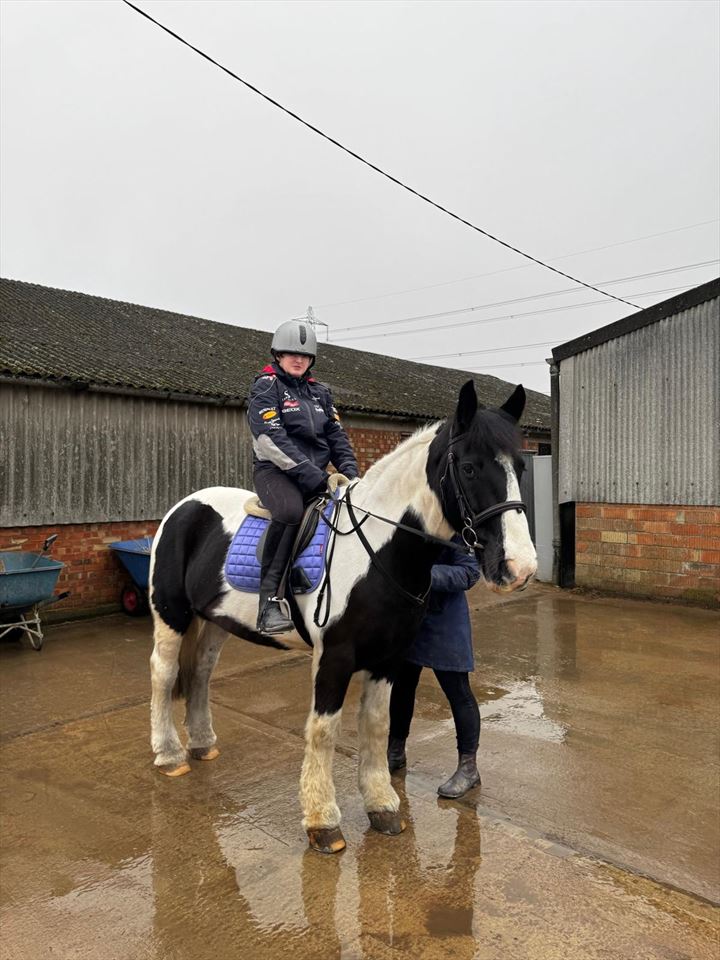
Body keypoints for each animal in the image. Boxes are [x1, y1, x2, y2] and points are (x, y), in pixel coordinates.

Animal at [148, 380, 537, 853]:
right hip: (171, 613)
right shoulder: (333, 657)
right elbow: (323, 730)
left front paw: (382, 806)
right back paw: (169, 755)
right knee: (164, 673)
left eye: (520, 465)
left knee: (201, 674)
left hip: (213, 623)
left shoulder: (388, 658)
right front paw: (323, 822)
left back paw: (203, 745)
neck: (376, 549)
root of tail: (183, 507)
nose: (520, 567)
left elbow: (376, 725)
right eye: (468, 468)